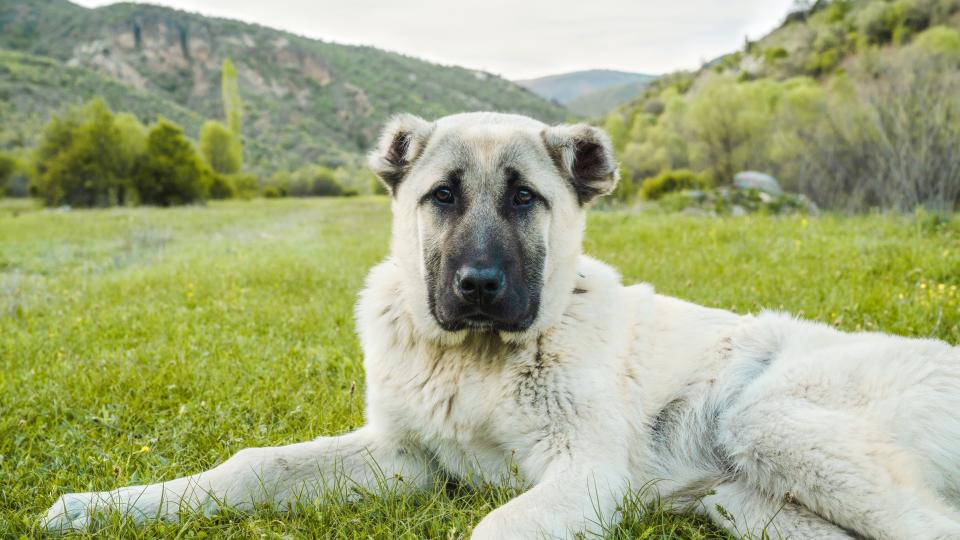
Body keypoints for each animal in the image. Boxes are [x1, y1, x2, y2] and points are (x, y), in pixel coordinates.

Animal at [43, 112, 960, 536]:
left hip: (768, 418)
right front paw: (109, 506)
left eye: (525, 199)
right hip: (750, 502)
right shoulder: (403, 458)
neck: (476, 360)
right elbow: (251, 466)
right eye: (442, 196)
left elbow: (498, 523)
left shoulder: (585, 472)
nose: (479, 285)